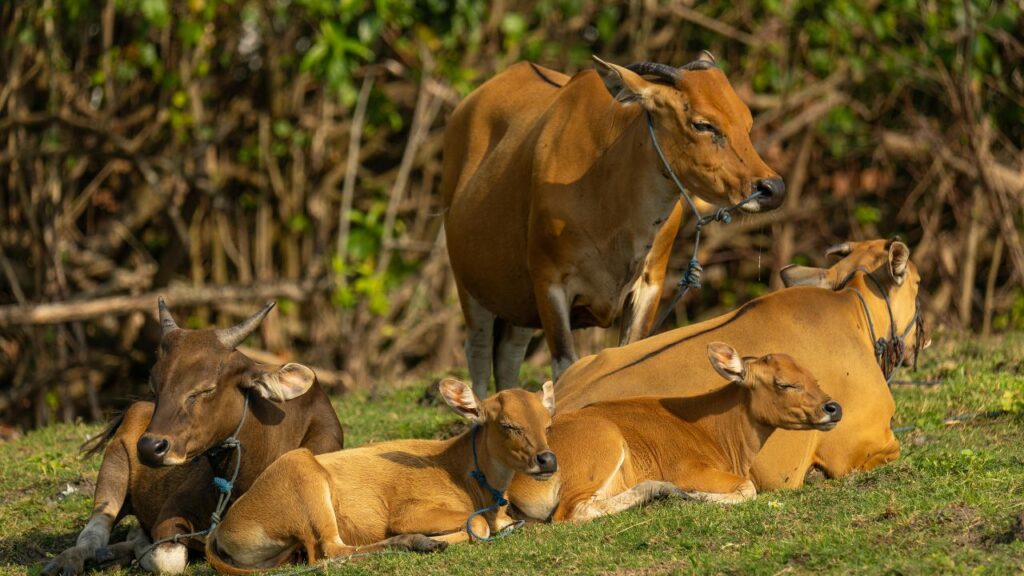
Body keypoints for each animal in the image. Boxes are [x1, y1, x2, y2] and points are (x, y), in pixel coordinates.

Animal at [43, 299, 344, 575]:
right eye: (155, 386)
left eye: (205, 389)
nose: (149, 447)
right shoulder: (172, 513)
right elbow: (169, 559)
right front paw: (143, 548)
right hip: (112, 471)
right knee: (93, 534)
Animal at [204, 379, 557, 573]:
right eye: (508, 424)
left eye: (547, 423)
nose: (548, 460)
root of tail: (222, 528)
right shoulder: (409, 512)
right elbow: (479, 524)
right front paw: (439, 538)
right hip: (303, 475)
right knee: (329, 552)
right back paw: (417, 542)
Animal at [442, 52, 786, 397]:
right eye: (703, 124)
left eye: (747, 121)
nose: (772, 188)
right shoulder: (549, 281)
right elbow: (565, 367)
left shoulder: (650, 283)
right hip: (469, 285)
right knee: (478, 356)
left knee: (508, 356)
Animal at [508, 343, 840, 522]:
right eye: (784, 383)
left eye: (813, 378)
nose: (833, 407)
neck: (715, 430)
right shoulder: (689, 469)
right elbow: (748, 488)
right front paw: (697, 495)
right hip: (603, 442)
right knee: (571, 512)